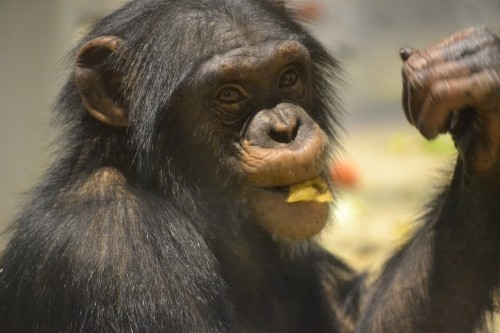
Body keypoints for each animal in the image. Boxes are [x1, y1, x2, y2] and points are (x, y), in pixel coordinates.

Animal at [0, 0, 498, 330]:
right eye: (229, 94)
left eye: (288, 77)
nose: (285, 128)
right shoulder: (117, 248)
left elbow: (366, 323)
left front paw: (477, 81)